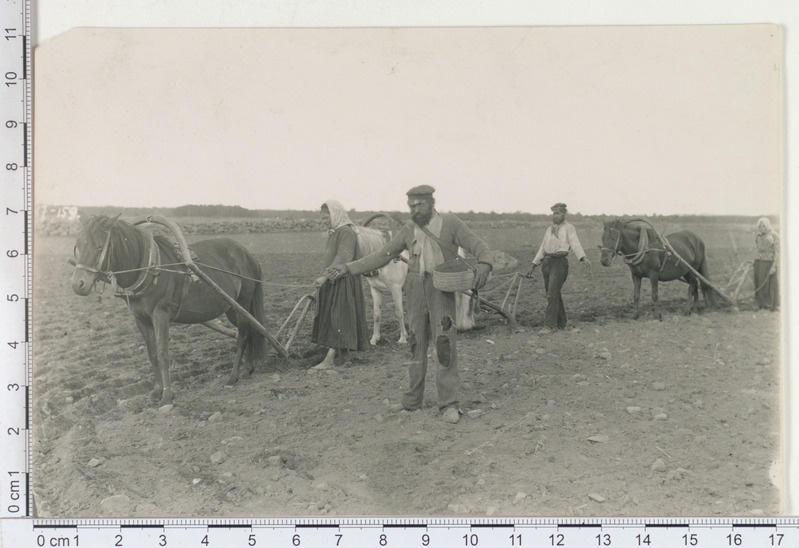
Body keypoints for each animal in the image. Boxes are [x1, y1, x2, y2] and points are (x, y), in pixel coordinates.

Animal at [72, 216, 266, 404]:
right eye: (78, 246)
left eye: (99, 246)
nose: (78, 284)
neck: (149, 268)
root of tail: (248, 254)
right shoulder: (141, 319)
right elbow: (152, 354)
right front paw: (157, 391)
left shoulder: (160, 315)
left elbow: (163, 354)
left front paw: (167, 396)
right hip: (232, 307)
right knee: (251, 329)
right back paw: (248, 369)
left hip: (242, 302)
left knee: (242, 336)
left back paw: (233, 376)